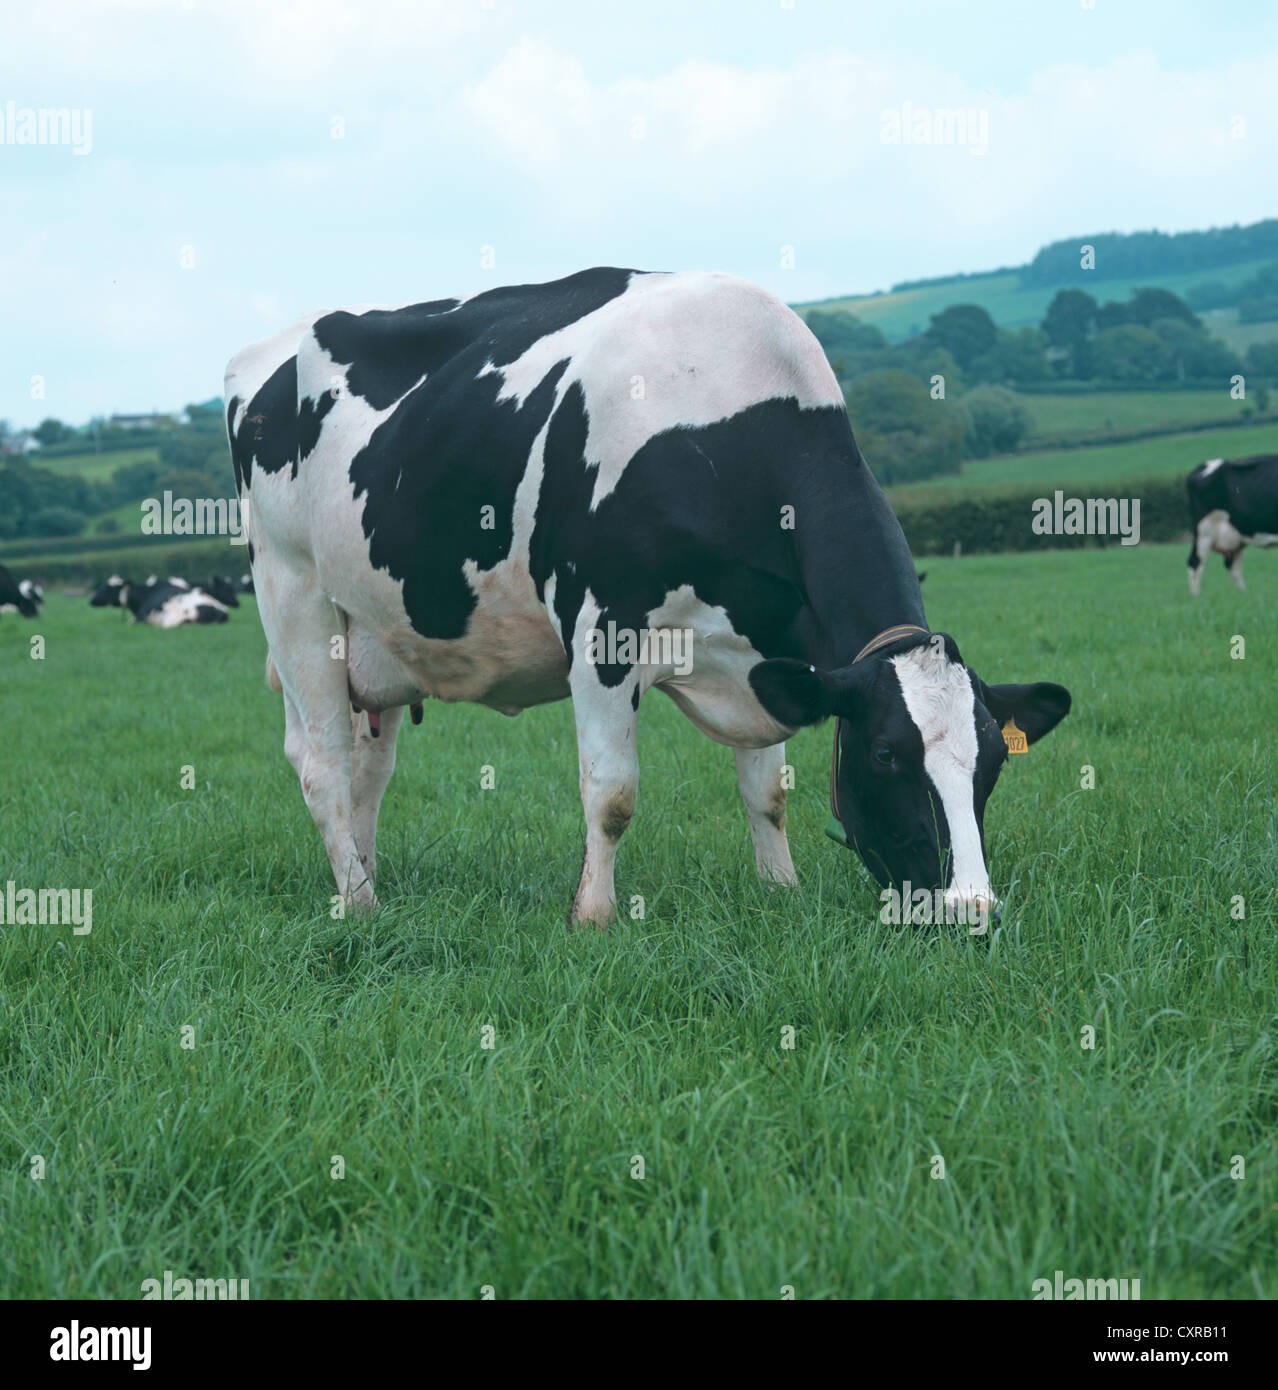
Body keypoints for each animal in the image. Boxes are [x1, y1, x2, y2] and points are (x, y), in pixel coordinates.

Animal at [228, 268, 1068, 922]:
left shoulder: (768, 649)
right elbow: (613, 793)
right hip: (292, 591)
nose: (971, 909)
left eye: (994, 760)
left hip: (376, 633)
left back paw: (364, 876)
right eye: (887, 754)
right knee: (323, 761)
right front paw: (593, 916)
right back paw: (360, 904)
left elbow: (767, 787)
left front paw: (780, 890)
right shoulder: (603, 626)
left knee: (368, 767)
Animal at [1184, 450, 1278, 592]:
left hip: (1234, 537)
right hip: (1204, 529)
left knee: (1232, 565)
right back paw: (1196, 597)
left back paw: (1243, 594)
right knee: (1195, 562)